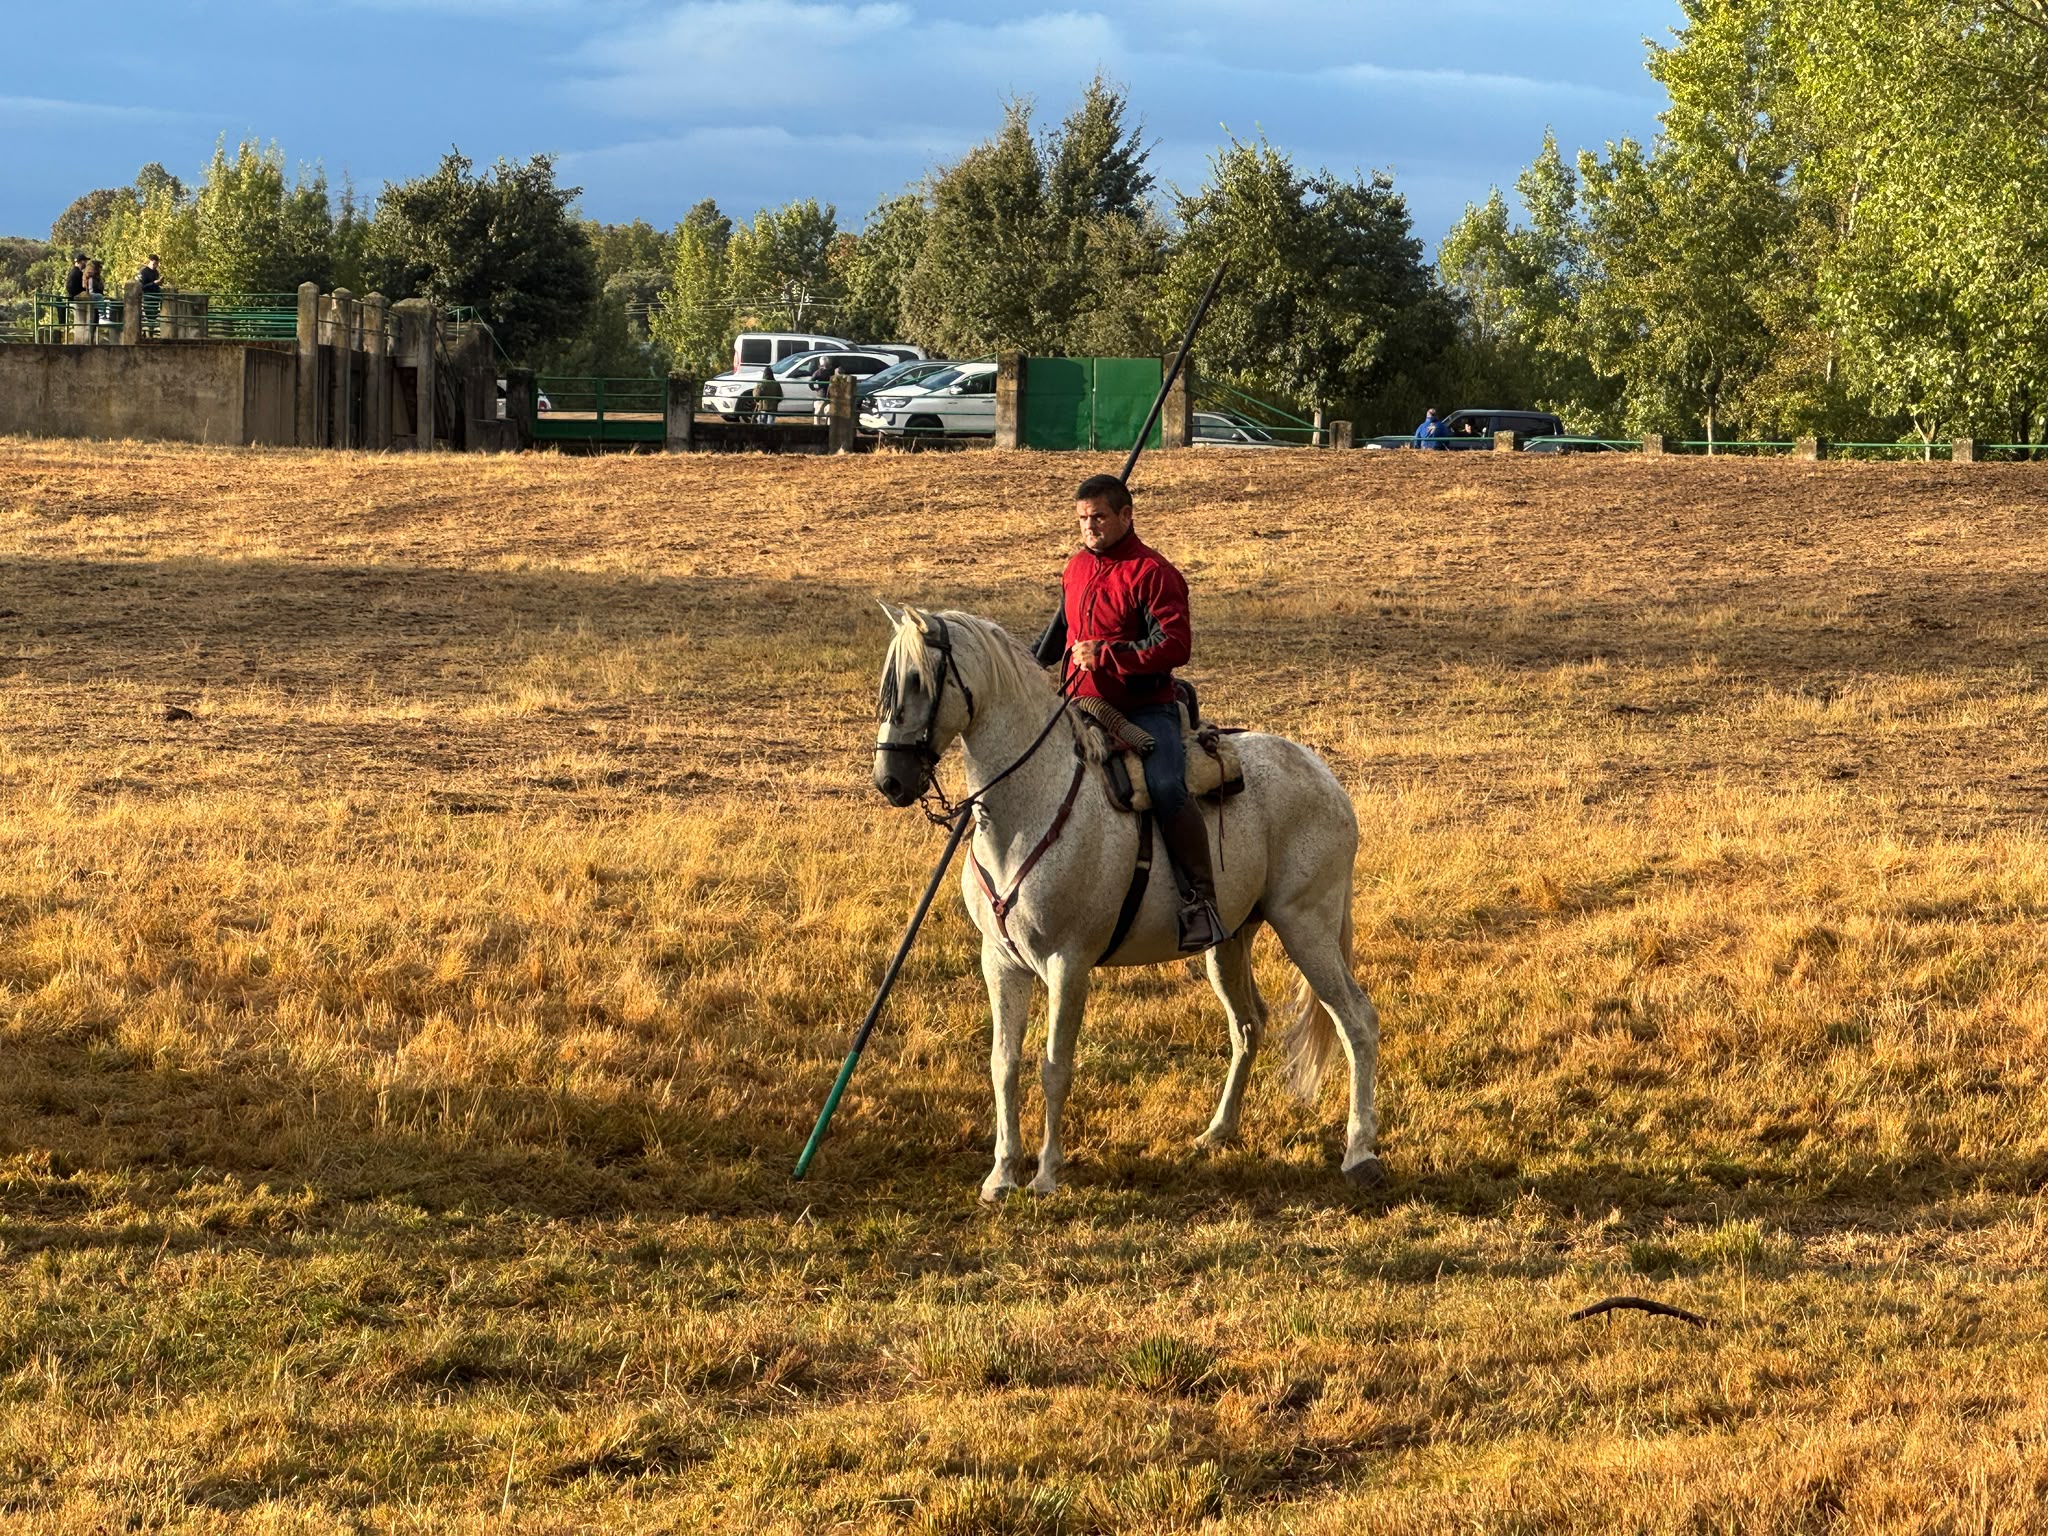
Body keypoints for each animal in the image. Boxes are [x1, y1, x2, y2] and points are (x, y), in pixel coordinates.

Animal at [870, 604, 1384, 1201]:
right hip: (1230, 941)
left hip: (1308, 928)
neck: (1032, 806)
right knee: (1249, 1024)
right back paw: (1217, 1132)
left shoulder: (1068, 963)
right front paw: (1000, 1175)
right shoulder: (1000, 962)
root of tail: (1324, 777)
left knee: (1356, 1020)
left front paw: (1046, 1175)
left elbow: (1055, 1065)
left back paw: (1359, 1153)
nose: (889, 781)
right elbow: (1004, 1063)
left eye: (915, 681)